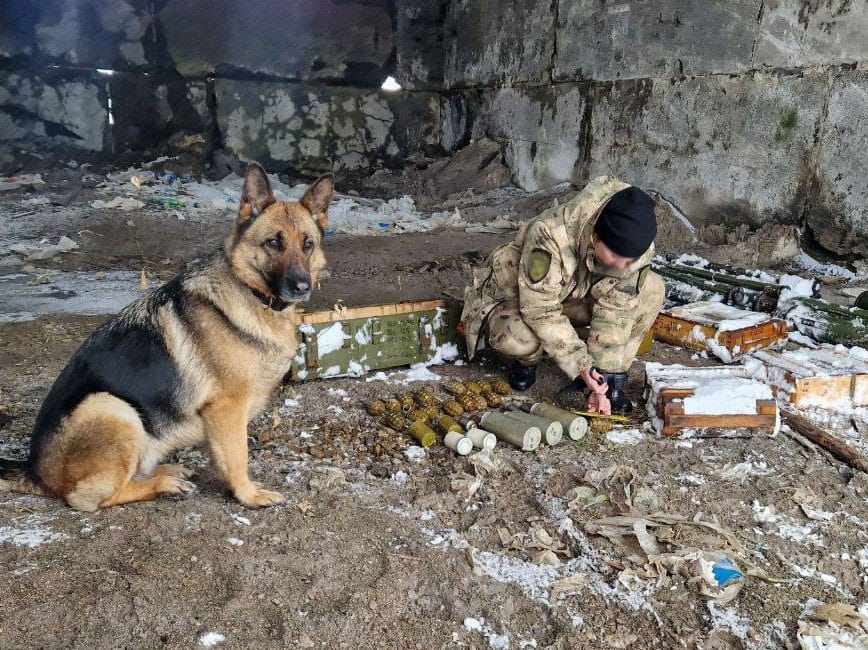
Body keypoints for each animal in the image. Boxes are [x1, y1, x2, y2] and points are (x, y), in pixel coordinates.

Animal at [0, 162, 333, 511]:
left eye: (308, 244)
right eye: (273, 243)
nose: (302, 287)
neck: (251, 293)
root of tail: (34, 471)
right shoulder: (227, 409)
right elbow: (238, 457)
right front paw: (248, 494)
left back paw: (167, 471)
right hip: (111, 407)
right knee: (94, 497)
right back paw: (163, 485)